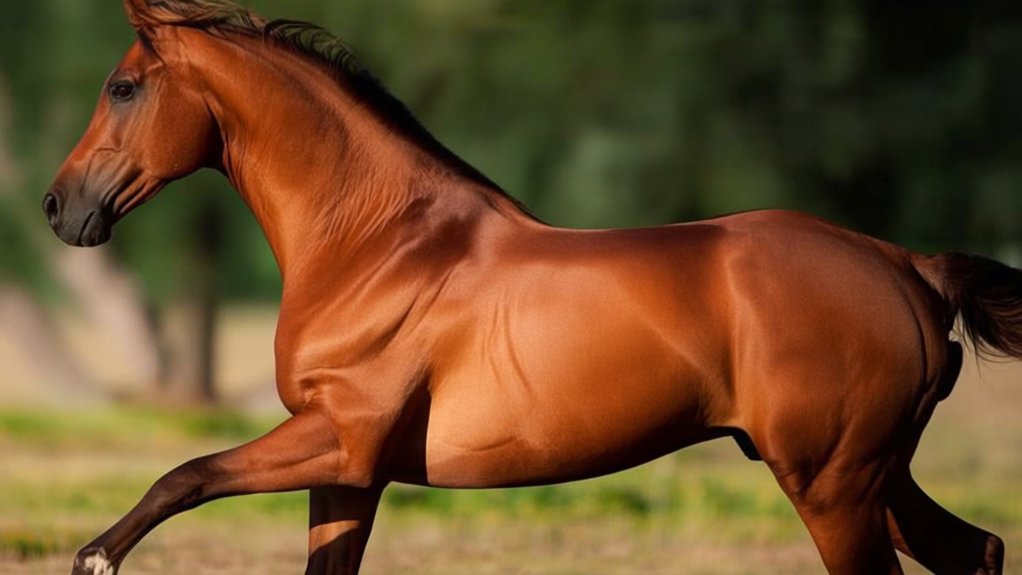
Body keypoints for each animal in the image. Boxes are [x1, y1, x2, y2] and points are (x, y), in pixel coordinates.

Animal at [44, 1, 1017, 574]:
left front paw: (95, 555)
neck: (376, 244)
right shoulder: (352, 472)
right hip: (872, 475)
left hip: (831, 484)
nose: (60, 208)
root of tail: (908, 267)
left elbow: (185, 472)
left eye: (121, 86)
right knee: (977, 548)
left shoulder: (339, 437)